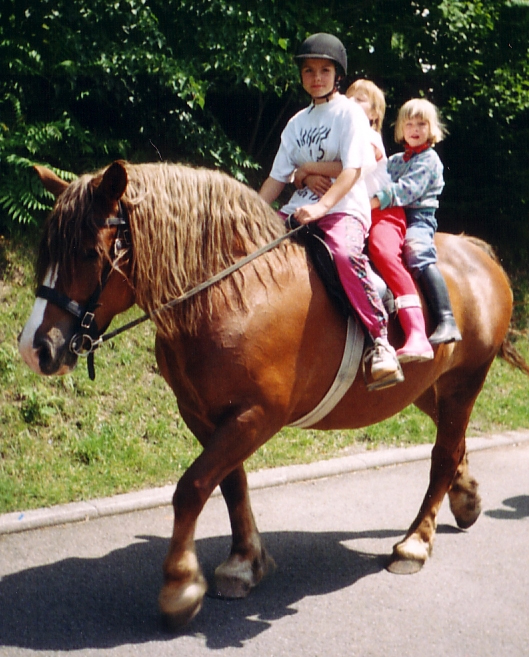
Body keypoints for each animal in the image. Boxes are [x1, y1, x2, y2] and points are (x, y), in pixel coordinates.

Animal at [19, 160, 528, 628]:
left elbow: (191, 488)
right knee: (454, 442)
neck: (230, 293)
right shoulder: (202, 414)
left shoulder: (257, 415)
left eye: (89, 253)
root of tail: (475, 250)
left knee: (444, 452)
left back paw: (416, 543)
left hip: (466, 379)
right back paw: (466, 499)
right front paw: (244, 562)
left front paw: (181, 585)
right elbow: (230, 484)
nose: (35, 348)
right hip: (425, 385)